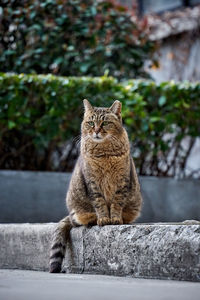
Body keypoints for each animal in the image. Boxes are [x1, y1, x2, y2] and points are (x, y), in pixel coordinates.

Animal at [49, 99, 142, 274]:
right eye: (91, 123)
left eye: (105, 123)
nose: (97, 130)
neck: (104, 153)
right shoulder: (92, 184)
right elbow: (100, 204)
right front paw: (104, 218)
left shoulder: (122, 182)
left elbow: (116, 203)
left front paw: (115, 219)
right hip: (78, 210)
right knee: (78, 220)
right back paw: (92, 220)